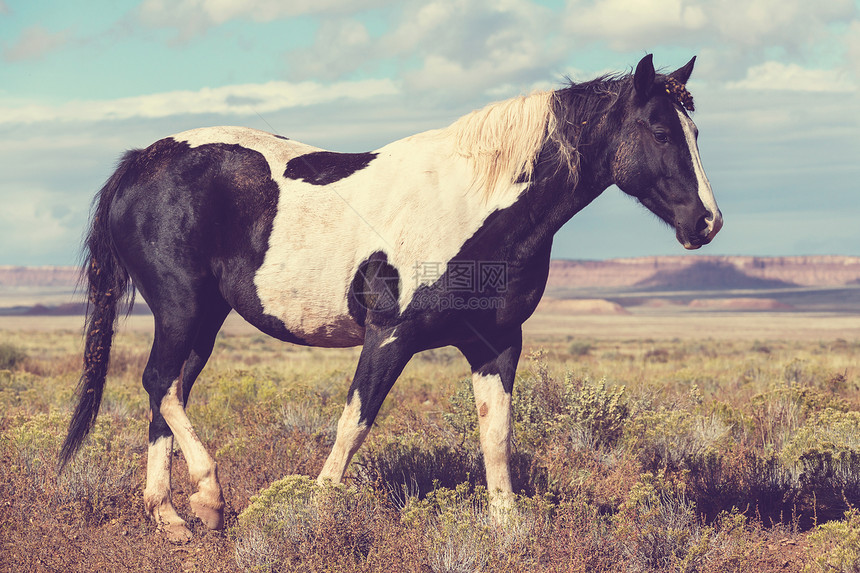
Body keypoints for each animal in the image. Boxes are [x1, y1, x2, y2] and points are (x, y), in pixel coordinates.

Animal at [58, 53, 720, 540]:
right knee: (159, 383)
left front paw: (507, 531)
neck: (473, 207)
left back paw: (173, 518)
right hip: (182, 306)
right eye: (661, 130)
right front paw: (314, 518)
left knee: (167, 391)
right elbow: (353, 425)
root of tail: (144, 161)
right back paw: (209, 498)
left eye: (695, 131)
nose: (707, 223)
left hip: (204, 318)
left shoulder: (496, 344)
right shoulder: (390, 337)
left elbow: (497, 437)